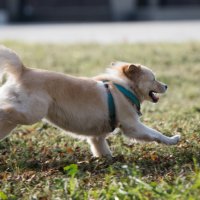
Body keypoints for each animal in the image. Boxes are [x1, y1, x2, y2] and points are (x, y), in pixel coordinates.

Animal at [0, 46, 180, 157]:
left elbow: (102, 150)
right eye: (154, 79)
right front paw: (173, 139)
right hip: (31, 113)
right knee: (5, 110)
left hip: (14, 121)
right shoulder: (132, 126)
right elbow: (155, 134)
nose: (166, 86)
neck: (126, 88)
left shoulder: (97, 136)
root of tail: (23, 70)